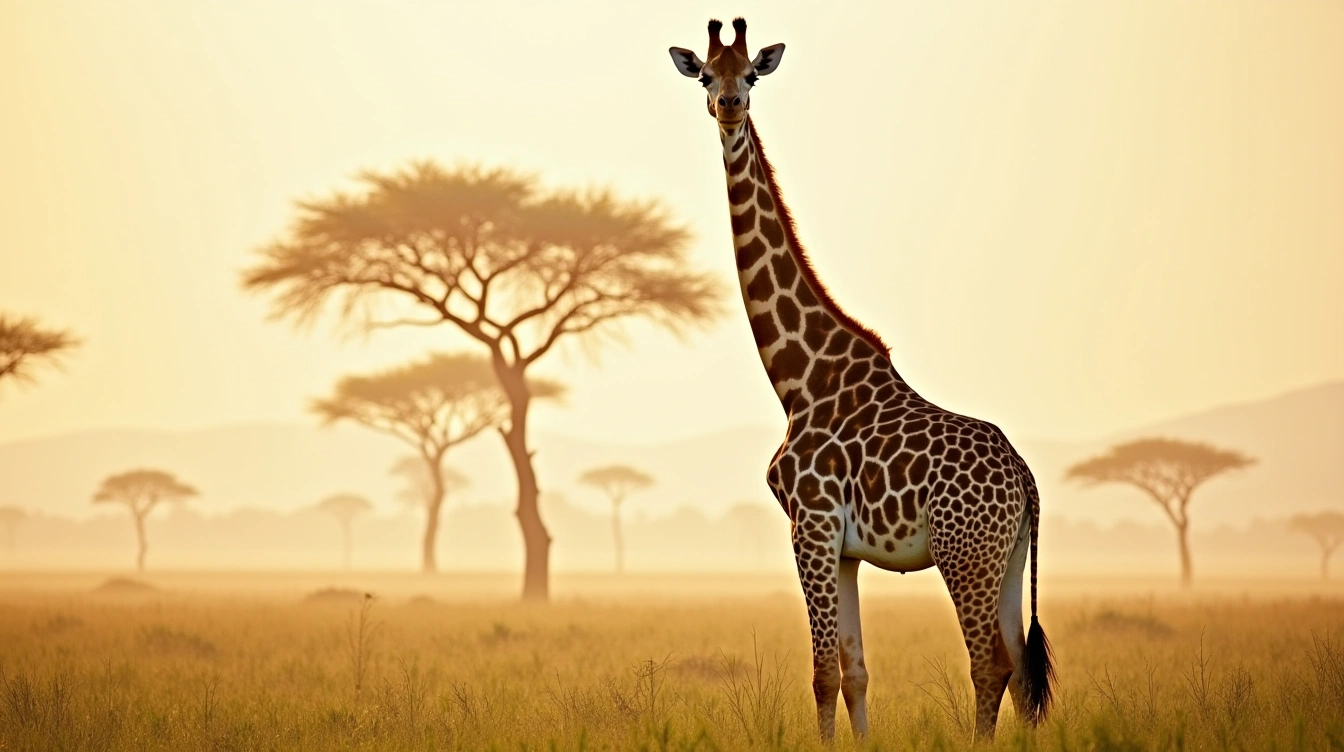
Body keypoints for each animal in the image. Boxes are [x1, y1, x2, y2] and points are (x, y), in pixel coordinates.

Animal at [668, 18, 1055, 742]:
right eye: (706, 74)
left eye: (751, 75)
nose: (730, 106)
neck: (798, 378)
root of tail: (1024, 478)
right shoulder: (842, 546)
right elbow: (854, 671)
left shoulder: (811, 526)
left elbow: (822, 673)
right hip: (1010, 556)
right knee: (1023, 669)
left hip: (965, 553)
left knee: (990, 663)